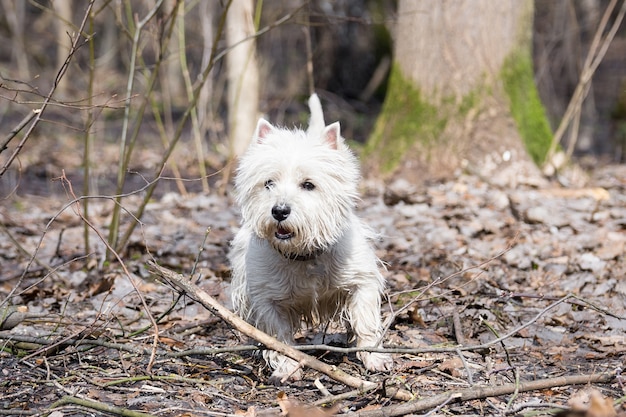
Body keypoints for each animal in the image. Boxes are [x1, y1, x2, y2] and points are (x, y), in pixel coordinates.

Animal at [229, 92, 390, 382]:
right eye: (268, 183)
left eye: (308, 185)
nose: (279, 211)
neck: (305, 254)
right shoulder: (266, 297)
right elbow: (276, 334)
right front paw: (287, 365)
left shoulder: (361, 280)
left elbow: (365, 319)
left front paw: (375, 357)